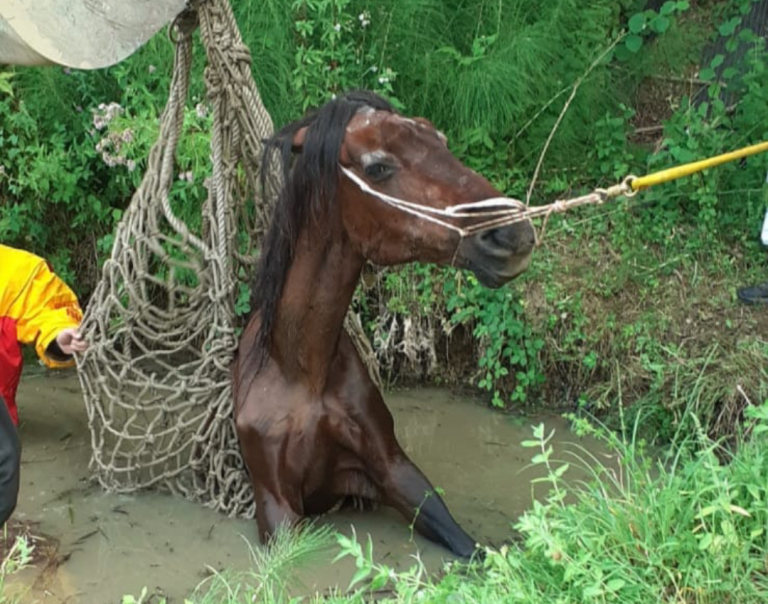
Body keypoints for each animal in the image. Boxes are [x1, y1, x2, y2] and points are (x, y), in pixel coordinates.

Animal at [233, 90, 536, 559]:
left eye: (441, 140)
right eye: (377, 167)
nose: (511, 235)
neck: (300, 369)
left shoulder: (394, 470)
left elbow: (469, 548)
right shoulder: (276, 506)